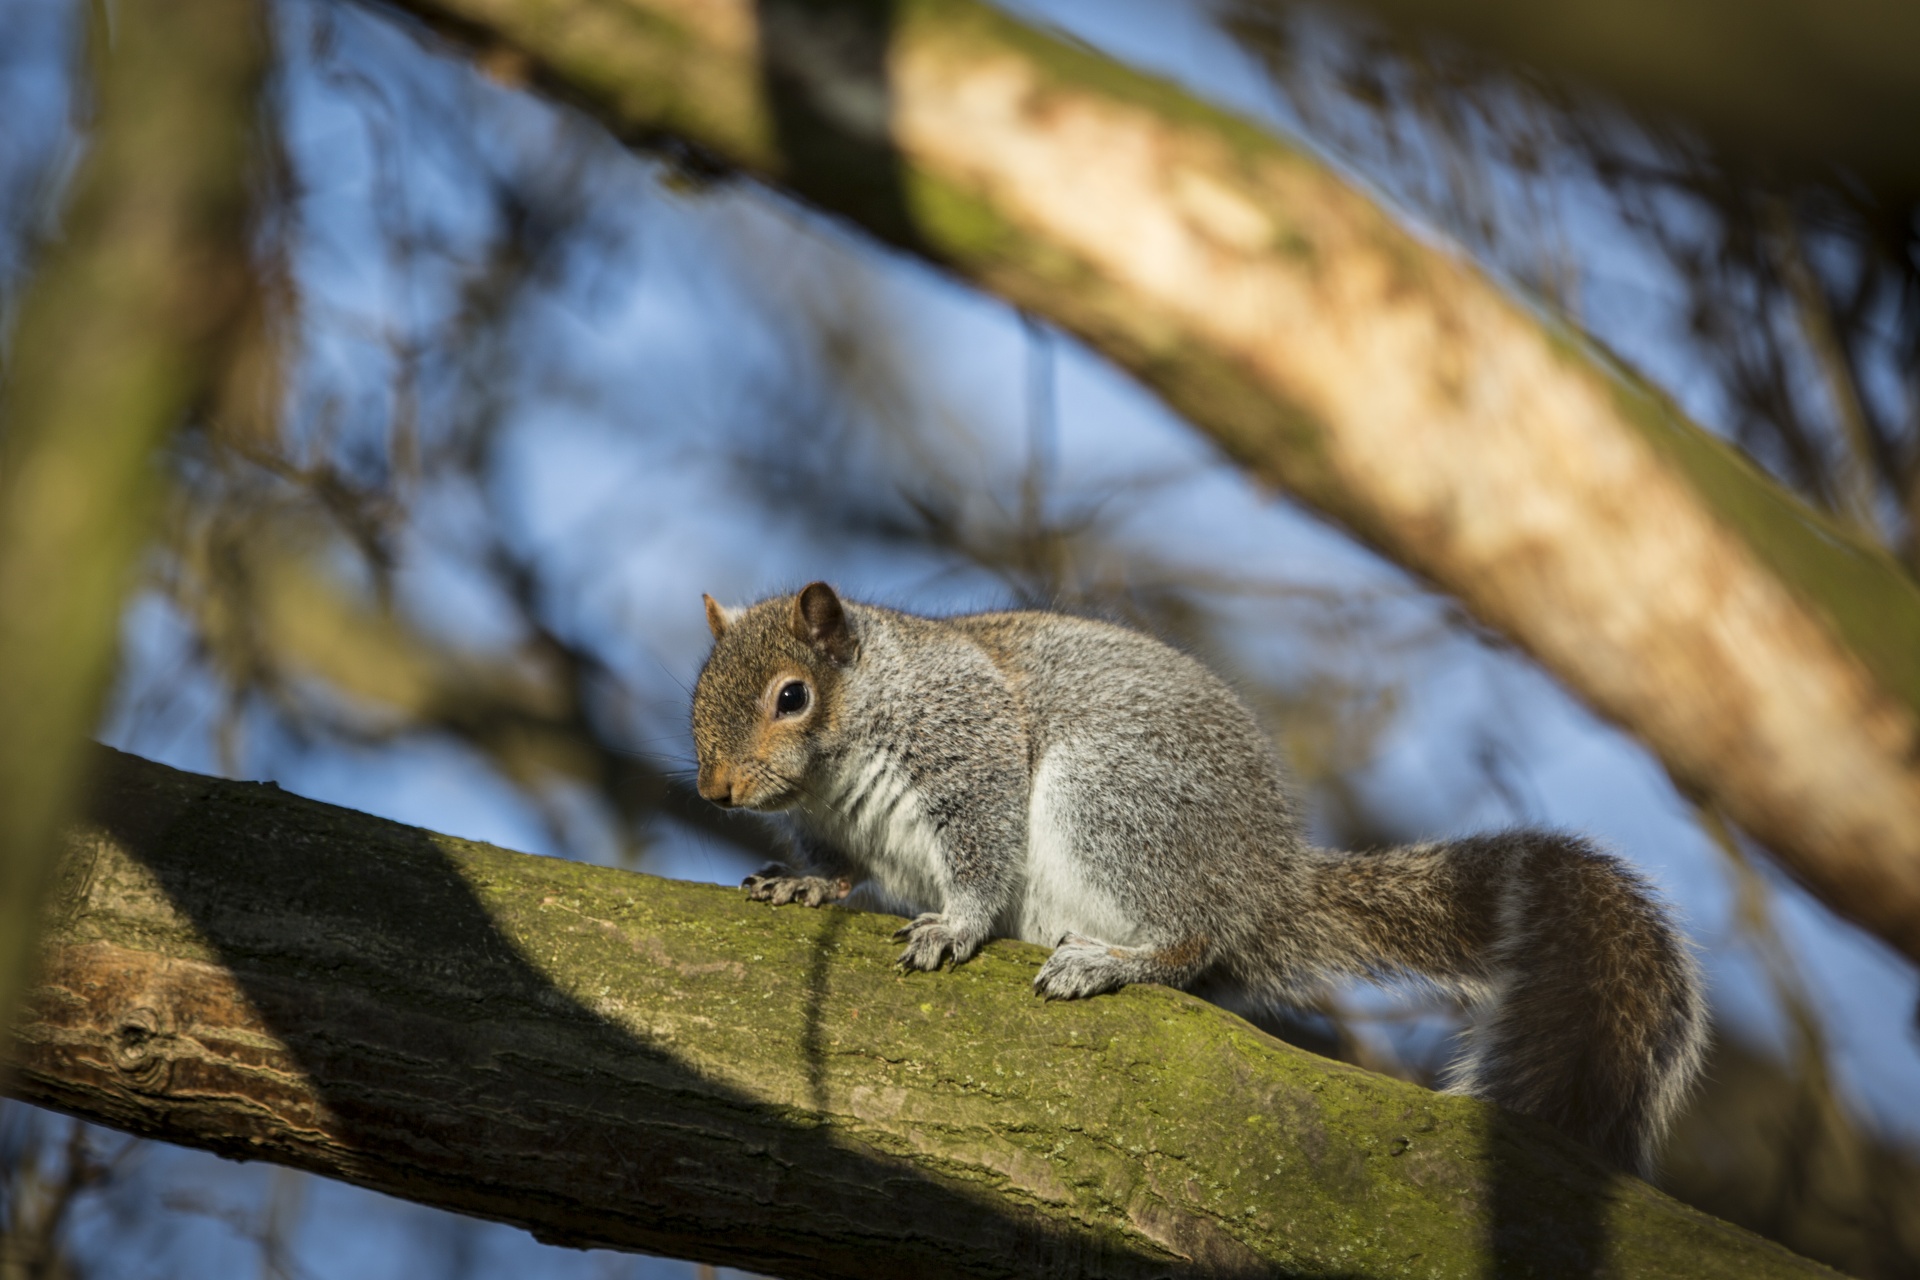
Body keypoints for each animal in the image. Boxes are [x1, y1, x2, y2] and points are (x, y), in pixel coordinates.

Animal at [695, 587, 1712, 1174]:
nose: (714, 791)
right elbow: (837, 870)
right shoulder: (841, 830)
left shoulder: (969, 745)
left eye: (793, 696)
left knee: (1189, 941)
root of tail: (1266, 887)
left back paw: (1111, 961)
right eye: (699, 689)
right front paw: (802, 886)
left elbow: (981, 851)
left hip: (1112, 800)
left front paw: (955, 925)